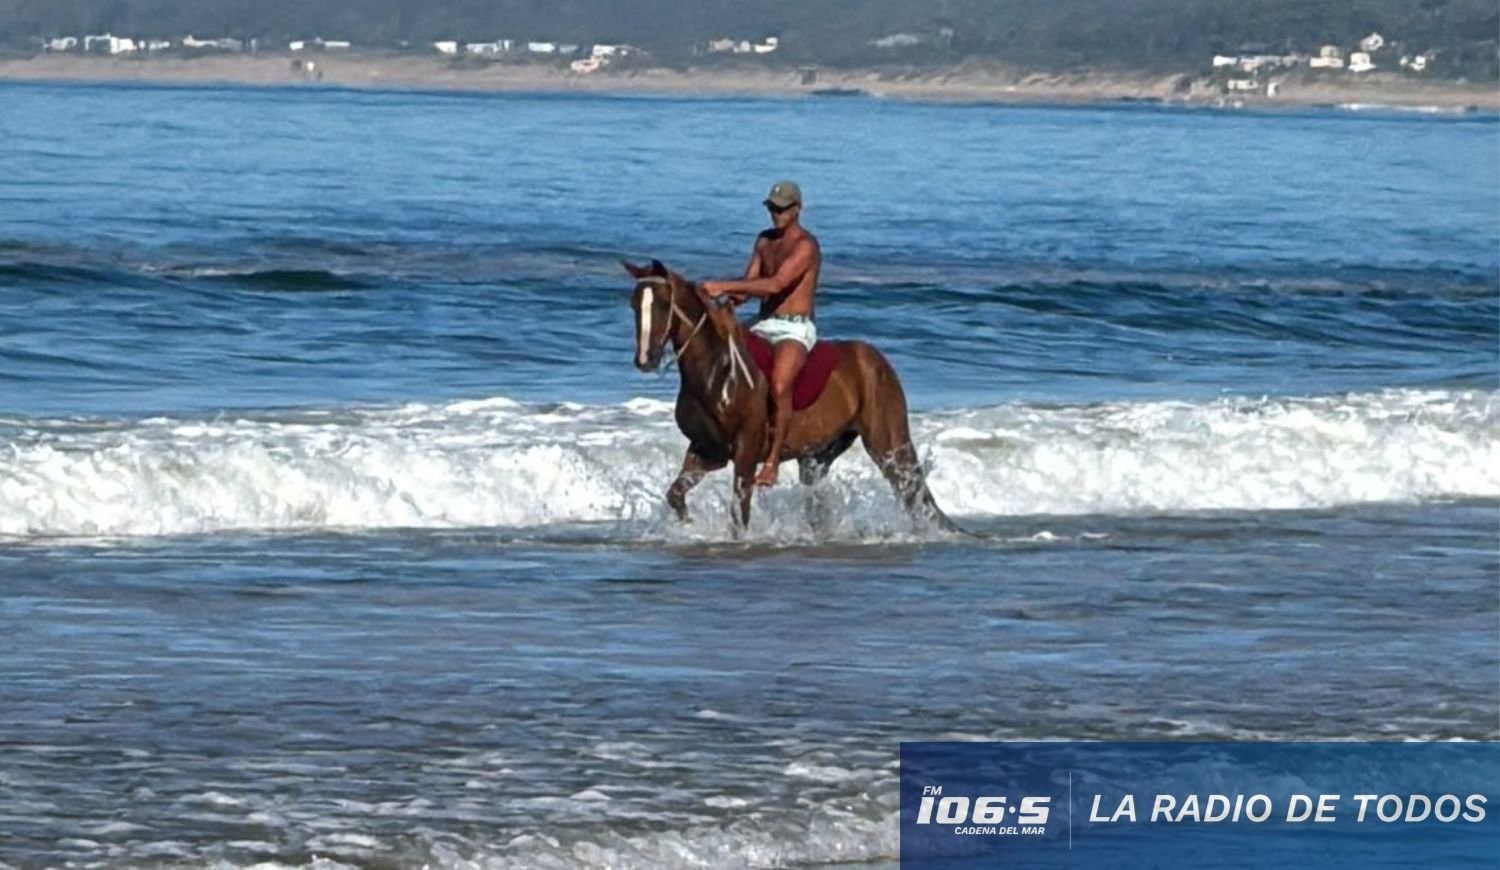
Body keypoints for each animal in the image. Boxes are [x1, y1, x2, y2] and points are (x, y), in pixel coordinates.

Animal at [624, 259, 963, 534]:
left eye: (662, 303)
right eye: (633, 304)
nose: (645, 359)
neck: (717, 372)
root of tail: (875, 359)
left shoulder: (745, 450)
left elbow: (739, 512)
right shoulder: (707, 450)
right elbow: (675, 494)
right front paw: (687, 522)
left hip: (888, 443)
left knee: (910, 493)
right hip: (818, 456)